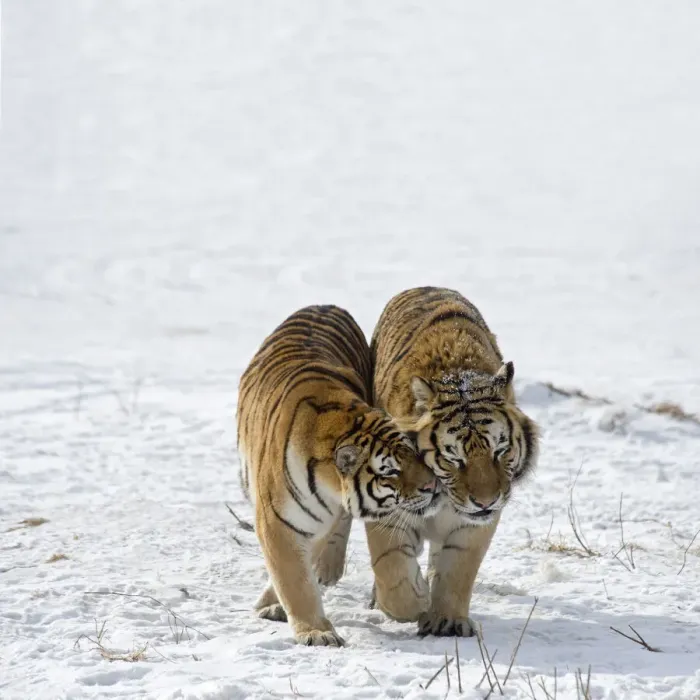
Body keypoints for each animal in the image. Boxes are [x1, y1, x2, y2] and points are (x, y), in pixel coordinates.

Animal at [236, 304, 440, 647]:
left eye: (416, 454)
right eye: (391, 471)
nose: (434, 487)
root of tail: (324, 305)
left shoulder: (321, 519)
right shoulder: (279, 522)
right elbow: (295, 580)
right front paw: (316, 632)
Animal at [363, 287, 540, 637]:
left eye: (500, 450)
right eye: (452, 457)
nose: (485, 502)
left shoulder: (473, 526)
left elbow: (458, 569)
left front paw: (446, 621)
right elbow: (391, 569)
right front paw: (414, 599)